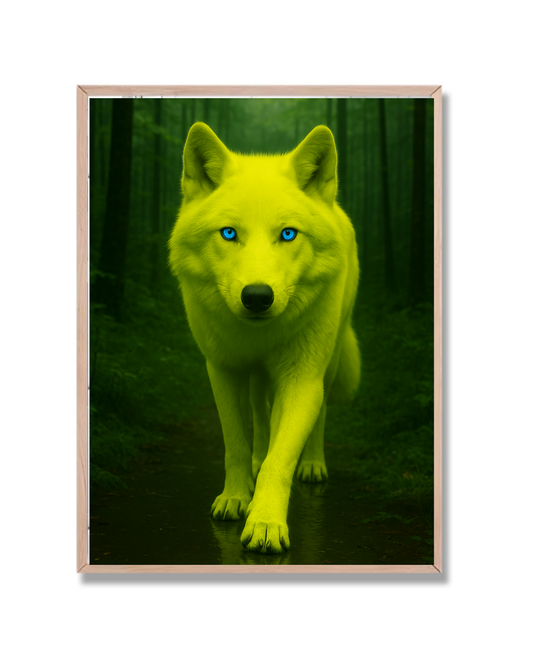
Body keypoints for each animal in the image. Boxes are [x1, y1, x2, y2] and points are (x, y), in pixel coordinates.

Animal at [169, 122, 360, 554]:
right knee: (259, 415)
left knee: (316, 417)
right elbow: (236, 445)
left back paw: (312, 463)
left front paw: (266, 522)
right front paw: (236, 498)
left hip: (328, 363)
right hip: (257, 378)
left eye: (288, 234)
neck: (257, 336)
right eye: (229, 233)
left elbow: (281, 457)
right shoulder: (222, 370)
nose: (257, 296)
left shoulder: (301, 379)